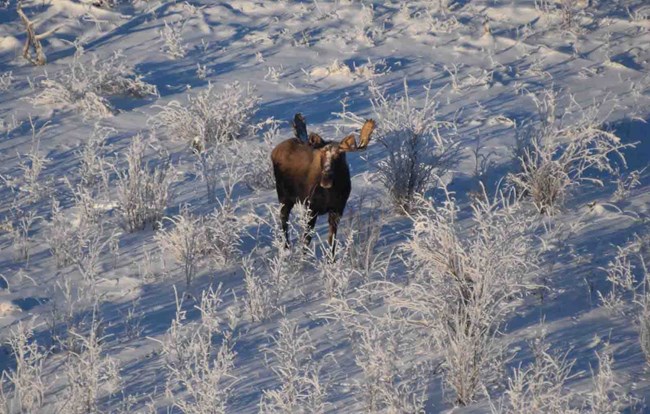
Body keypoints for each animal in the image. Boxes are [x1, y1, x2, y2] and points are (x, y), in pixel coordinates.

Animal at [270, 113, 374, 254]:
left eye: (339, 155)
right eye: (322, 154)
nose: (326, 180)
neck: (331, 193)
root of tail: (274, 151)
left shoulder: (337, 209)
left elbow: (332, 242)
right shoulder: (311, 208)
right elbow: (306, 241)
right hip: (284, 196)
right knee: (283, 219)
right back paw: (286, 248)